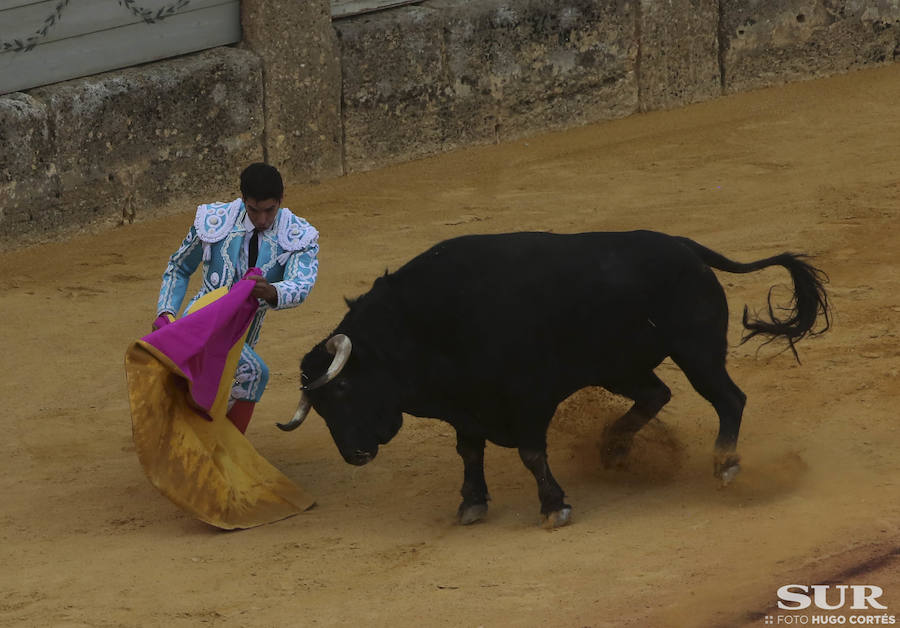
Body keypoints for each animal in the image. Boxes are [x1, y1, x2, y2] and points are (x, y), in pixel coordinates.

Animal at [280, 229, 828, 524]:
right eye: (321, 407)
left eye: (343, 387)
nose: (355, 455)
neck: (418, 325)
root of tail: (685, 246)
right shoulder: (466, 407)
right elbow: (470, 451)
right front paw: (472, 504)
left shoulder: (529, 399)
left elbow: (530, 453)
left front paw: (554, 507)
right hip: (621, 366)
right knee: (656, 394)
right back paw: (612, 448)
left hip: (697, 353)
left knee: (729, 399)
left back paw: (726, 465)